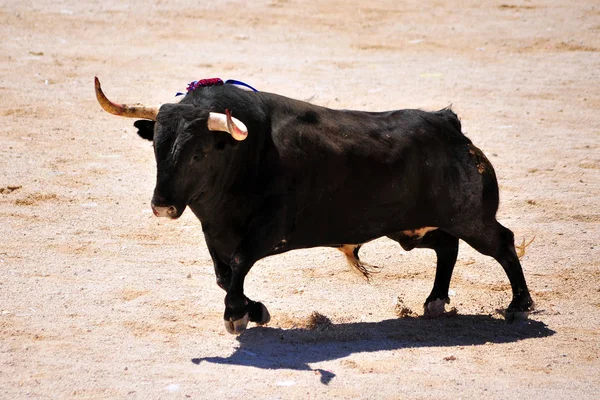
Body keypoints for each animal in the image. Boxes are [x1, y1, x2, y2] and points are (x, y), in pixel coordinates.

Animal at [95, 78, 536, 334]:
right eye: (156, 147)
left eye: (199, 154)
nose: (162, 207)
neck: (243, 155)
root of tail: (450, 124)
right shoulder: (213, 231)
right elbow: (224, 274)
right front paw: (255, 310)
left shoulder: (267, 229)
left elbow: (237, 264)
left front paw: (237, 315)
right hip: (410, 228)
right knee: (447, 246)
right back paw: (435, 302)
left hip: (471, 217)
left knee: (501, 242)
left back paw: (519, 304)